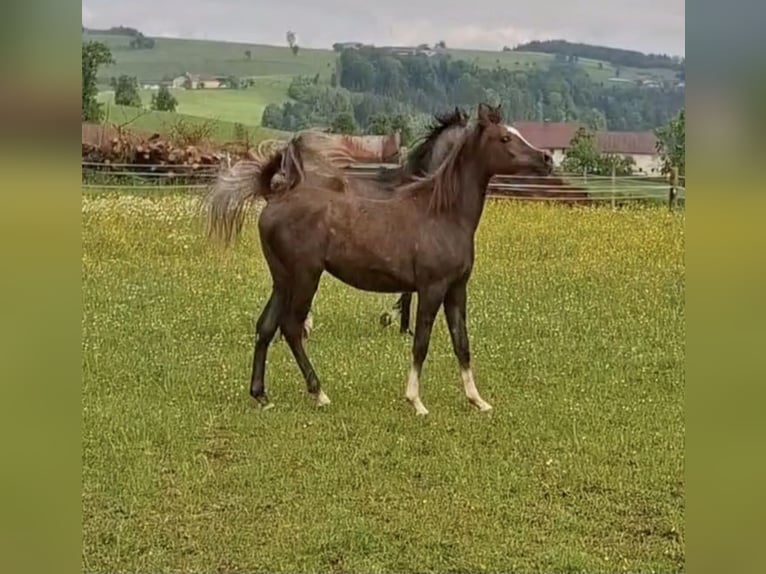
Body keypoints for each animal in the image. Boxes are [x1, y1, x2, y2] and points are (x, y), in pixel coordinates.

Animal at [204, 103, 552, 416]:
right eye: (504, 138)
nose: (546, 159)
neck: (441, 212)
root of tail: (276, 197)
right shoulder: (432, 288)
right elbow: (421, 342)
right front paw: (416, 401)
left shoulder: (456, 290)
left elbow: (462, 343)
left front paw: (477, 401)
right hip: (305, 277)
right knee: (291, 327)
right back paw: (320, 393)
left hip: (283, 279)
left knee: (266, 326)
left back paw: (261, 395)